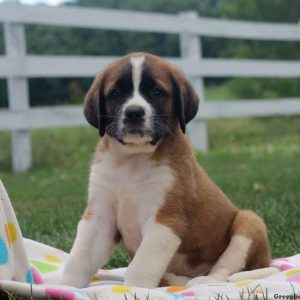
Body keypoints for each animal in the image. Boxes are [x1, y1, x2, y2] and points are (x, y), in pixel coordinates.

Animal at [59, 52, 270, 288]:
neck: (133, 159)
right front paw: (64, 287)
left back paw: (203, 282)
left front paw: (132, 290)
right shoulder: (100, 218)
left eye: (156, 91)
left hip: (248, 222)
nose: (134, 112)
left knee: (225, 270)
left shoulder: (164, 221)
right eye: (116, 92)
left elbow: (140, 268)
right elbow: (79, 259)